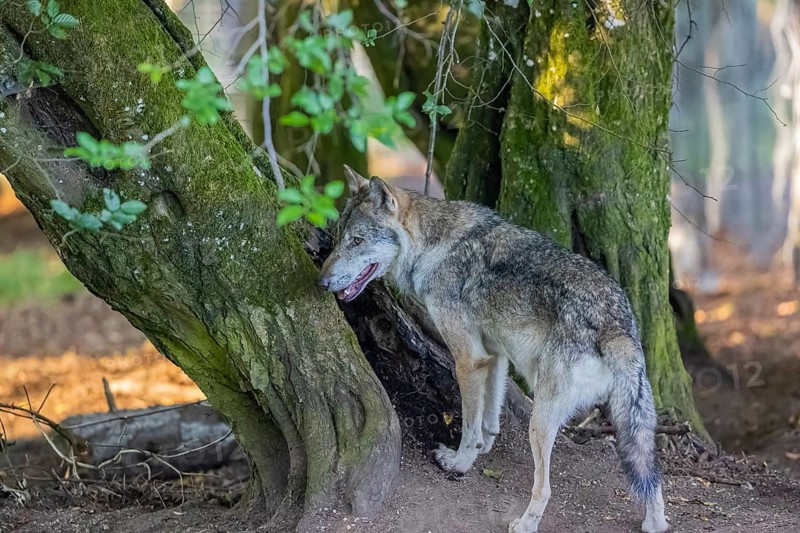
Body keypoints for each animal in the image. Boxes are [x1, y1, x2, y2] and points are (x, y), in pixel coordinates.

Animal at [319, 166, 669, 533]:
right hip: (637, 422)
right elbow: (489, 414)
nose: (321, 283)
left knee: (545, 488)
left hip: (539, 420)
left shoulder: (467, 359)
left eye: (357, 241)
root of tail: (616, 327)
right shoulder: (494, 355)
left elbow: (470, 422)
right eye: (340, 236)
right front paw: (484, 445)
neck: (432, 247)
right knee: (653, 479)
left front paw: (460, 462)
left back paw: (526, 524)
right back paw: (654, 523)